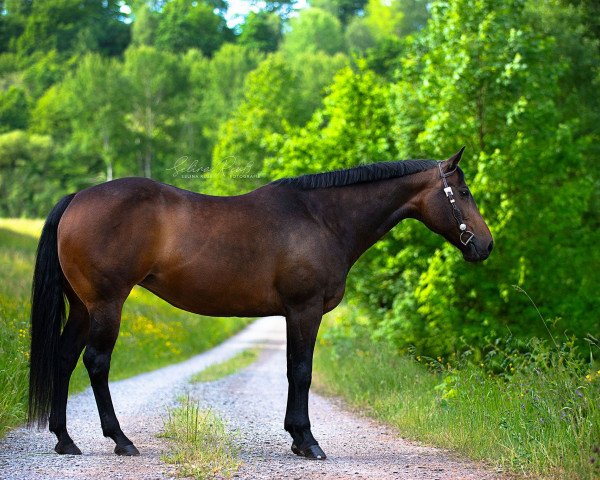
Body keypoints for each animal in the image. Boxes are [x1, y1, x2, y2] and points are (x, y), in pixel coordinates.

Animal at [27, 147, 492, 462]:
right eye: (464, 191)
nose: (485, 246)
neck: (322, 218)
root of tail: (77, 197)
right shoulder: (304, 311)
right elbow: (302, 372)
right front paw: (308, 442)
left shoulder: (291, 315)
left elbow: (291, 371)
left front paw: (296, 438)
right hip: (107, 304)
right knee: (96, 362)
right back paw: (121, 440)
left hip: (82, 307)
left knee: (64, 358)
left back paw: (65, 440)